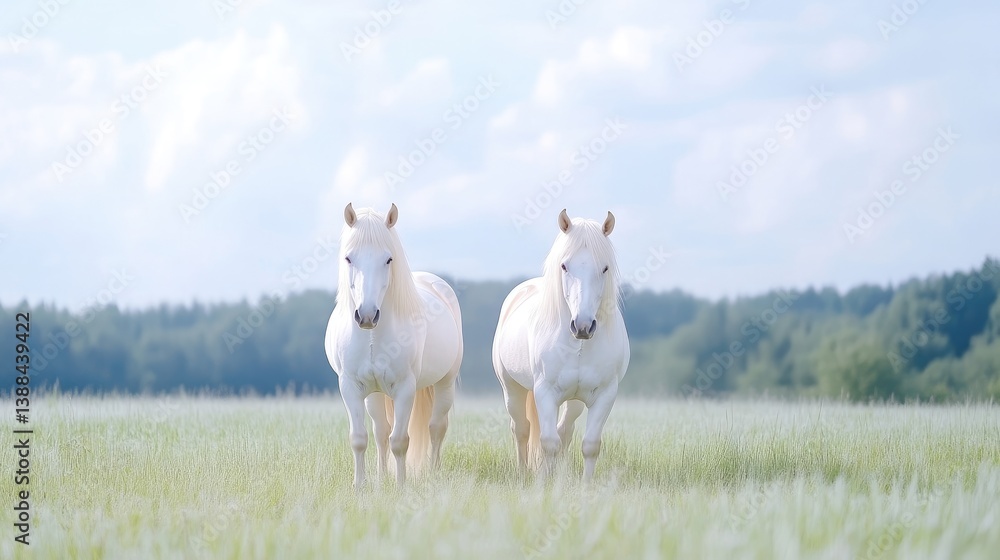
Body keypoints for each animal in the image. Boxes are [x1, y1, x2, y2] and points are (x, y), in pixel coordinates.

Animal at [324, 203, 464, 488]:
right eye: (349, 258)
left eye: (388, 259)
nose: (366, 315)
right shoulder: (350, 387)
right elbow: (360, 438)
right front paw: (360, 486)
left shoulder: (405, 389)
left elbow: (400, 441)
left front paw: (400, 487)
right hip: (375, 394)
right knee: (380, 431)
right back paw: (380, 476)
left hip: (445, 383)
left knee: (436, 427)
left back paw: (433, 472)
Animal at [492, 209, 629, 481]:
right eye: (564, 266)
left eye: (605, 268)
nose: (583, 326)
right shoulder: (545, 392)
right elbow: (548, 443)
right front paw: (544, 483)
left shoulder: (605, 395)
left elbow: (589, 445)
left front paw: (584, 485)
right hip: (512, 388)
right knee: (522, 429)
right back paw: (523, 474)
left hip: (574, 400)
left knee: (565, 431)